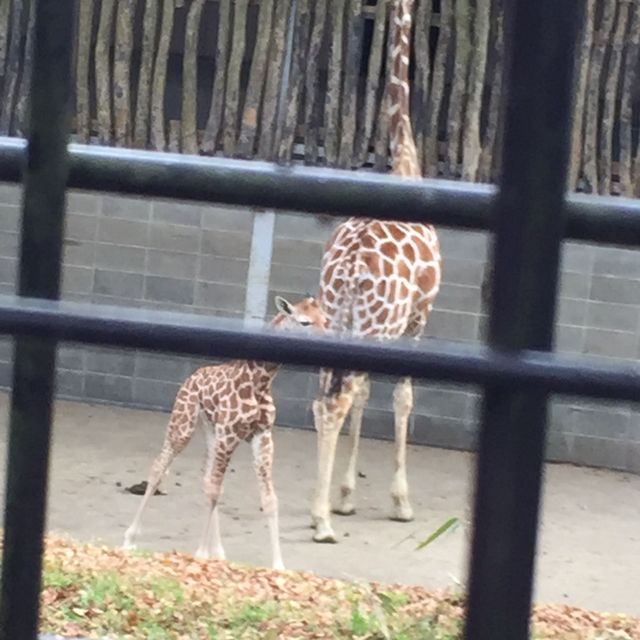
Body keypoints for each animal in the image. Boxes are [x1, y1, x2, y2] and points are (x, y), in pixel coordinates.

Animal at [122, 296, 324, 568]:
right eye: (304, 322)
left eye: (326, 320)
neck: (260, 383)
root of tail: (193, 375)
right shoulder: (229, 433)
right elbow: (215, 489)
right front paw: (200, 554)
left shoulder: (262, 435)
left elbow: (268, 498)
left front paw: (278, 566)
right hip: (184, 423)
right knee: (159, 468)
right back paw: (130, 538)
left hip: (211, 430)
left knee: (207, 478)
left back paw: (218, 551)